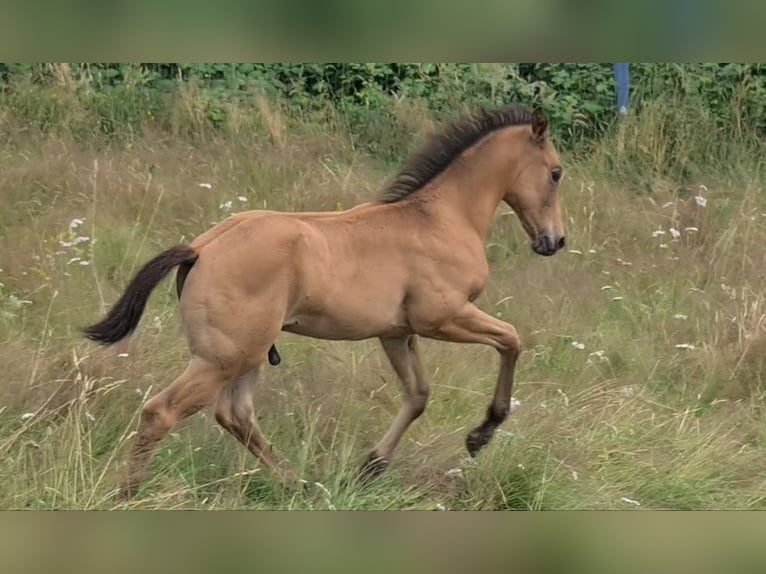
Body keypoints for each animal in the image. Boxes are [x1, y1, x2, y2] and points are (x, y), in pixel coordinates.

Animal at [84, 103, 568, 500]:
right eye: (556, 172)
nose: (555, 241)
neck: (440, 218)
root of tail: (200, 248)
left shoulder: (396, 333)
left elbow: (418, 395)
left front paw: (371, 466)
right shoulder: (442, 318)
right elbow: (511, 339)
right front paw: (480, 434)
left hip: (247, 353)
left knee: (235, 414)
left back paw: (295, 484)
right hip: (224, 357)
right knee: (161, 412)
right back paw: (129, 493)